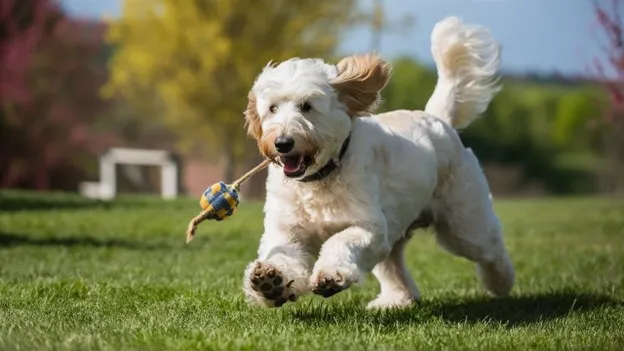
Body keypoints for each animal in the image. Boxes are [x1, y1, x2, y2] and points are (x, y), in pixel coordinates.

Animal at [241, 15, 516, 310]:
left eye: (306, 106)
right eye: (272, 108)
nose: (282, 142)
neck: (322, 177)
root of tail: (438, 120)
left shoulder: (368, 227)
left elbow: (339, 242)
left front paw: (330, 275)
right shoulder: (286, 232)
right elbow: (283, 256)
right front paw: (271, 283)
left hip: (463, 223)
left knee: (490, 247)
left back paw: (501, 282)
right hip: (397, 230)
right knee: (394, 268)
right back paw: (396, 300)